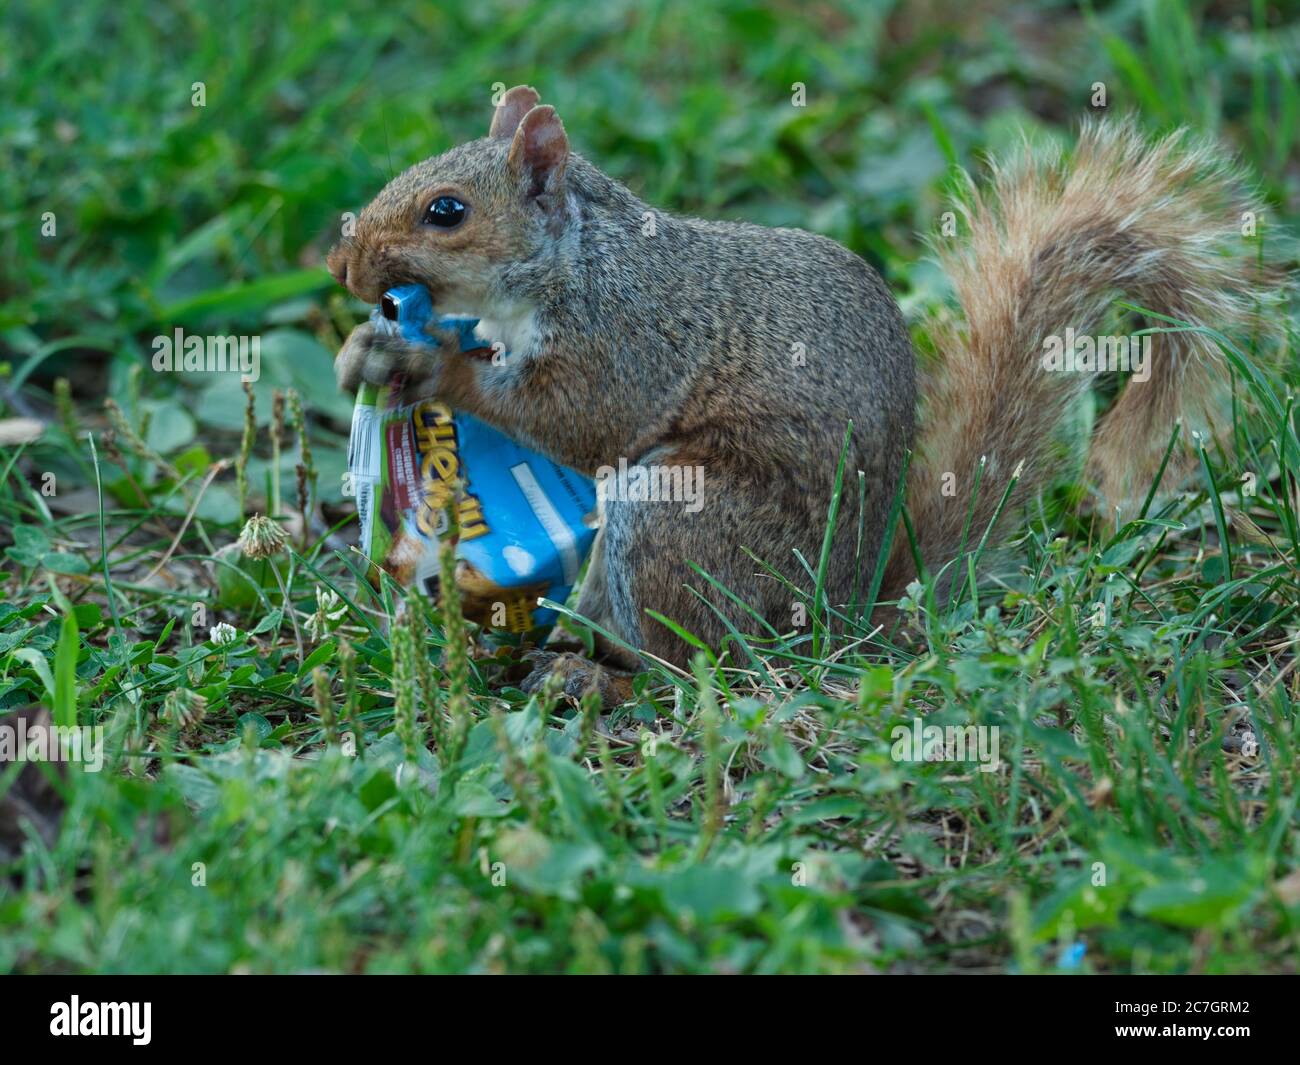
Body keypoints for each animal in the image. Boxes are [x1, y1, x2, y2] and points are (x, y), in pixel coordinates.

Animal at [327, 83, 1268, 702]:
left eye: (447, 211)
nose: (342, 267)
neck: (577, 260)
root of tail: (844, 621)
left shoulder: (624, 340)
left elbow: (576, 418)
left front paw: (428, 365)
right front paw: (364, 350)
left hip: (680, 516)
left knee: (696, 670)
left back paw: (595, 680)